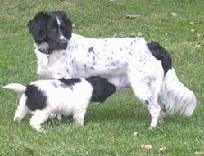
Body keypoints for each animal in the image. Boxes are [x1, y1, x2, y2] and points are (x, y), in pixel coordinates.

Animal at [27, 10, 198, 128]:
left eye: (63, 29)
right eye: (52, 29)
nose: (63, 42)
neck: (52, 53)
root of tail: (152, 45)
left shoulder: (66, 80)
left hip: (142, 87)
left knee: (156, 108)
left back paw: (152, 128)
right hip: (155, 88)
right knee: (162, 108)